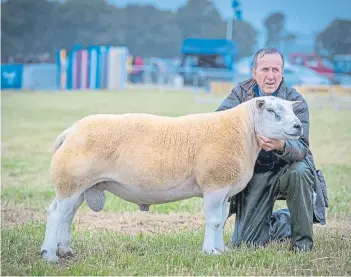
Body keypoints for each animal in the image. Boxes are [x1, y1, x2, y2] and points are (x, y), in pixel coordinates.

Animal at [39, 96, 302, 262]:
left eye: (292, 110)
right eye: (272, 111)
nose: (299, 126)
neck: (243, 132)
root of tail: (69, 132)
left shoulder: (224, 189)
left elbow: (220, 221)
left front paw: (221, 249)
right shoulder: (214, 184)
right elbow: (213, 221)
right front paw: (210, 252)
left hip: (80, 184)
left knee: (67, 214)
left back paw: (64, 250)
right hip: (70, 181)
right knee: (56, 214)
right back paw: (49, 256)